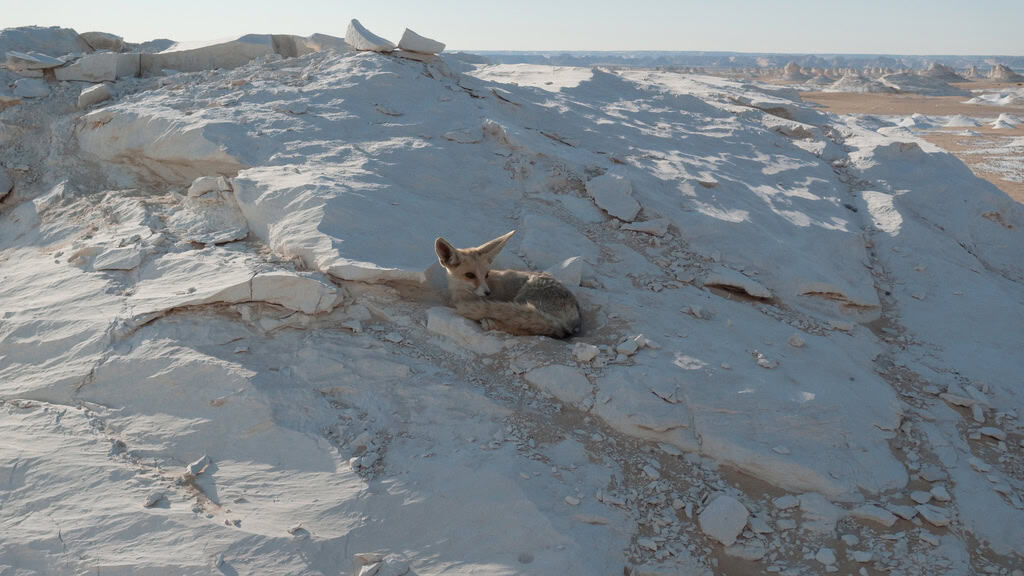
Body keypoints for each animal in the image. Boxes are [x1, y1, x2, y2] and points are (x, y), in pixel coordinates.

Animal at [434, 230, 582, 338]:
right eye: (470, 275)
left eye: (486, 274)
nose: (488, 293)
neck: (462, 295)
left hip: (524, 297)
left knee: (533, 329)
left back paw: (493, 324)